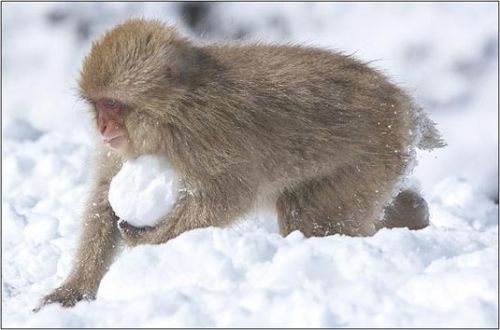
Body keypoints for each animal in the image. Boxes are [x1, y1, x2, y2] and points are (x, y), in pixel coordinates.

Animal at [40, 18, 446, 310]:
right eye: (97, 106)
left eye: (112, 104)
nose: (103, 127)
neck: (176, 106)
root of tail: (405, 107)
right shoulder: (123, 148)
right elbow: (103, 198)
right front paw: (74, 289)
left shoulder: (204, 133)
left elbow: (227, 197)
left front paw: (145, 238)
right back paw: (414, 213)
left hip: (370, 154)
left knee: (314, 220)